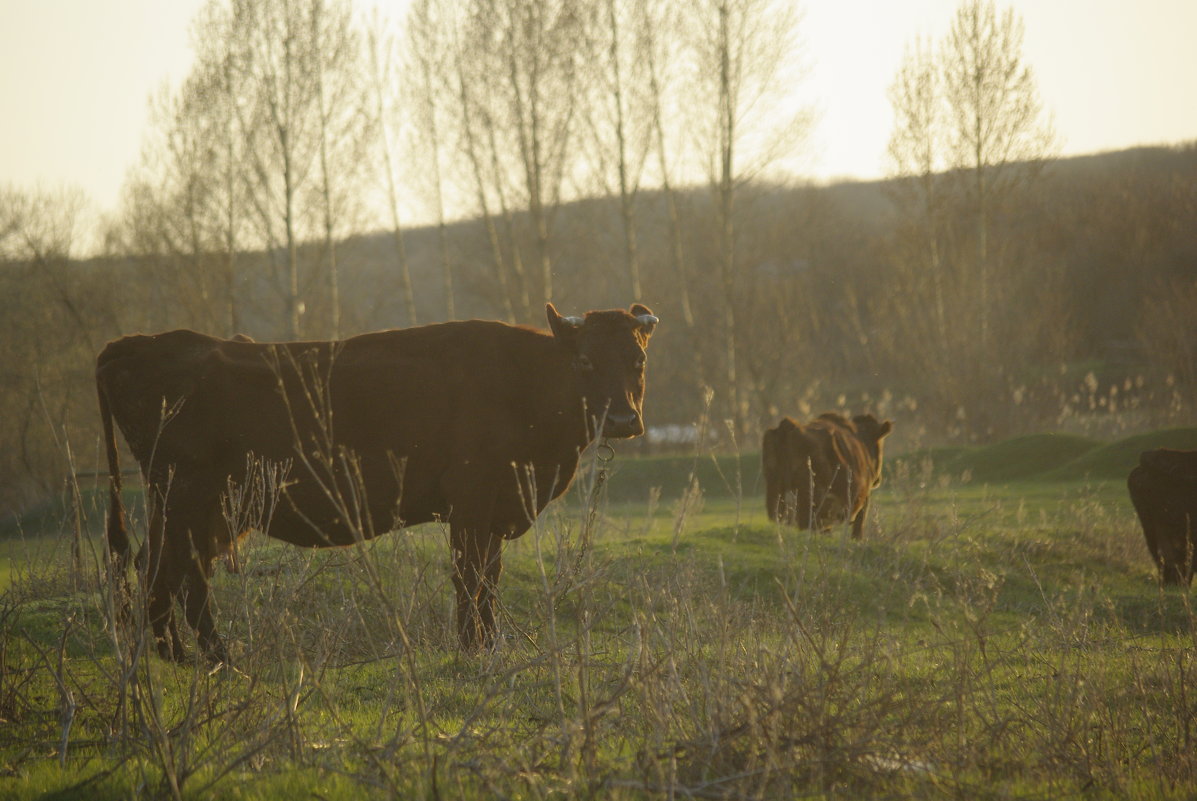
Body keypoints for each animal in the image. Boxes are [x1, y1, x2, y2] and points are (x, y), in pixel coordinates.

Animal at [100, 302, 665, 660]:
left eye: (638, 359)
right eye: (585, 359)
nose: (623, 419)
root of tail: (136, 343)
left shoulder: (494, 510)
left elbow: (490, 578)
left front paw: (489, 645)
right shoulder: (471, 503)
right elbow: (470, 577)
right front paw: (474, 649)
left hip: (204, 507)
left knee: (167, 568)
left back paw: (182, 656)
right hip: (189, 497)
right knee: (174, 570)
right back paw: (211, 656)